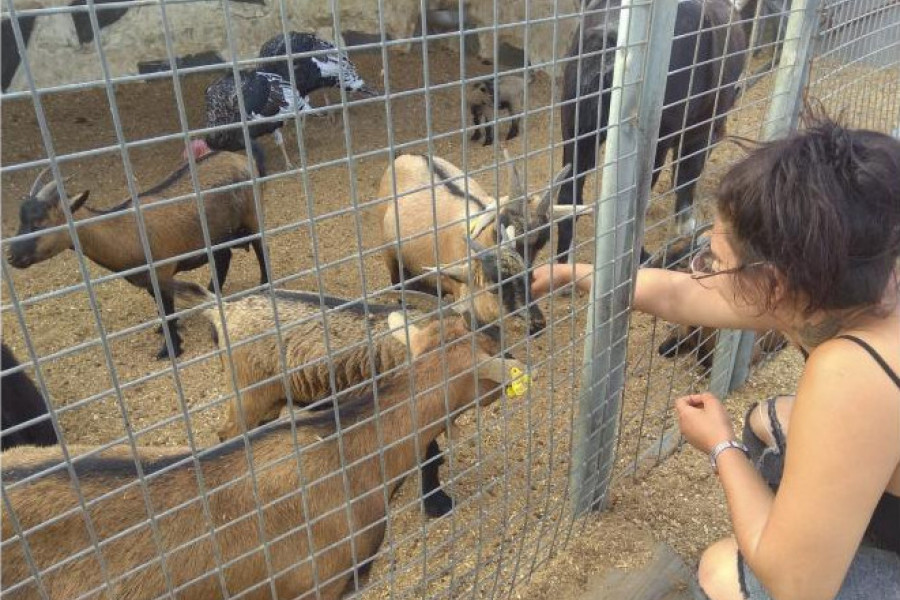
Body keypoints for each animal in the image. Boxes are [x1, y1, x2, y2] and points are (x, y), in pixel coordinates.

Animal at [7, 155, 268, 360]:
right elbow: (163, 310)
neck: (126, 230)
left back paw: (263, 286)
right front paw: (166, 331)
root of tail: (242, 159)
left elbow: (166, 309)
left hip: (252, 216)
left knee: (260, 248)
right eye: (21, 221)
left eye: (39, 223)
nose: (11, 257)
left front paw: (170, 349)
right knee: (223, 258)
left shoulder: (162, 274)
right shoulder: (149, 281)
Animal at [556, 0, 744, 262]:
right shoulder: (699, 134)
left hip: (576, 135)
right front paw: (687, 226)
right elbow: (687, 177)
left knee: (567, 198)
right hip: (653, 149)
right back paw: (645, 257)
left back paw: (564, 262)